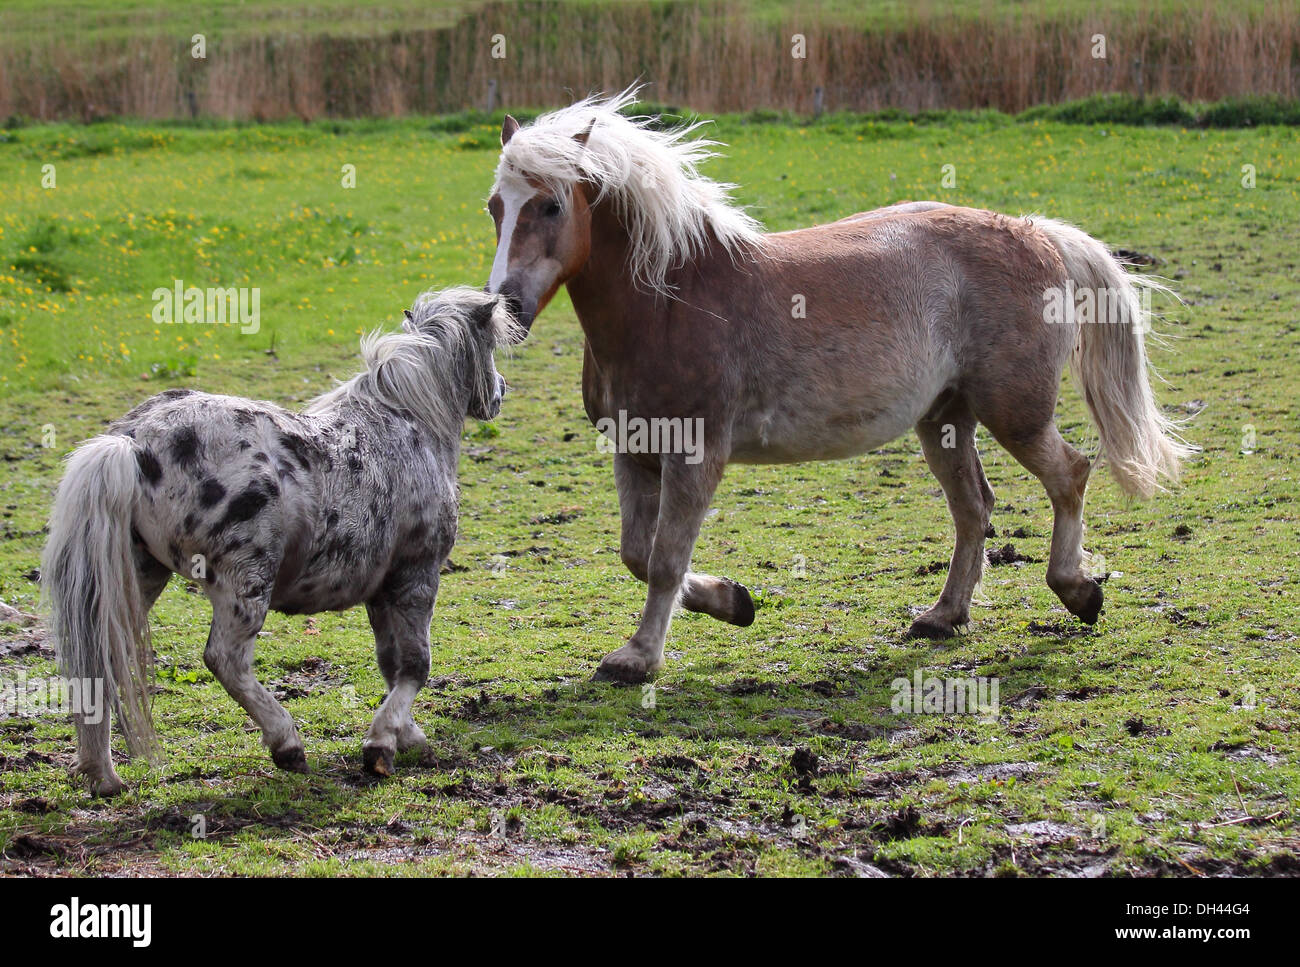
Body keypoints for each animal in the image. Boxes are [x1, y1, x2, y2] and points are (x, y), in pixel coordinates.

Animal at [45, 284, 522, 795]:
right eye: (491, 346)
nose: (501, 392)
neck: (407, 423)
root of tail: (134, 442)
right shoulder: (416, 575)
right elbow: (415, 666)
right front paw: (380, 745)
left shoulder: (381, 588)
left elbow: (391, 664)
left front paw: (407, 737)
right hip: (245, 582)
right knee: (225, 660)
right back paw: (287, 743)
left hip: (137, 575)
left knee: (99, 664)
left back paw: (103, 775)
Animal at [486, 89, 1190, 681]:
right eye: (496, 207)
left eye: (551, 205)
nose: (506, 307)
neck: (667, 302)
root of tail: (1038, 232)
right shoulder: (633, 451)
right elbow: (637, 554)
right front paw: (734, 602)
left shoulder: (695, 454)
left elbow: (664, 559)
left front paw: (638, 657)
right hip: (944, 417)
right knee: (974, 509)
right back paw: (944, 616)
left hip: (1013, 411)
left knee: (1069, 473)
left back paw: (1078, 591)